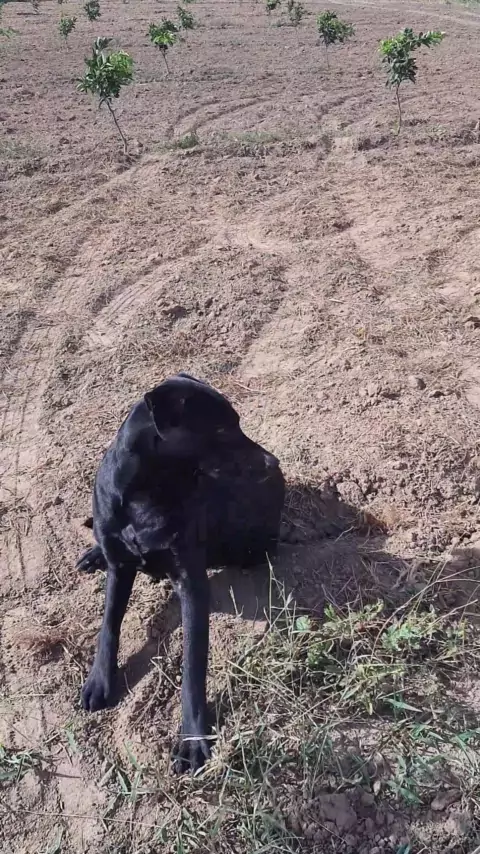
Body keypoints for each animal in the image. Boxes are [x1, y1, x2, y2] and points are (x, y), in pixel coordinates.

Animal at [76, 373, 285, 773]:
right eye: (221, 428)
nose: (272, 461)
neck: (144, 495)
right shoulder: (120, 567)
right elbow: (109, 625)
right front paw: (100, 680)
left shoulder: (192, 583)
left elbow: (192, 667)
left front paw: (192, 740)